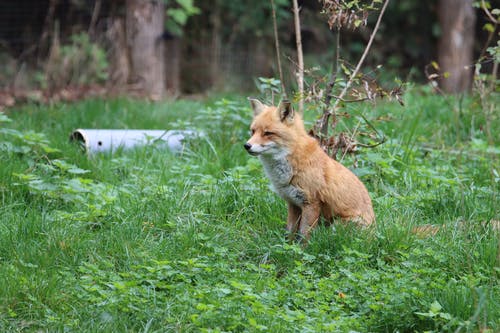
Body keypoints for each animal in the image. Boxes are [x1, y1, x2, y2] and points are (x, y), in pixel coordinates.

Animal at [244, 97, 374, 240]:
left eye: (268, 133)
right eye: (253, 131)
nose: (247, 145)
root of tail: (374, 229)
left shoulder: (311, 203)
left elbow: (304, 233)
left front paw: (302, 246)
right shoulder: (293, 203)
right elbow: (291, 230)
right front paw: (287, 244)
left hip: (336, 226)